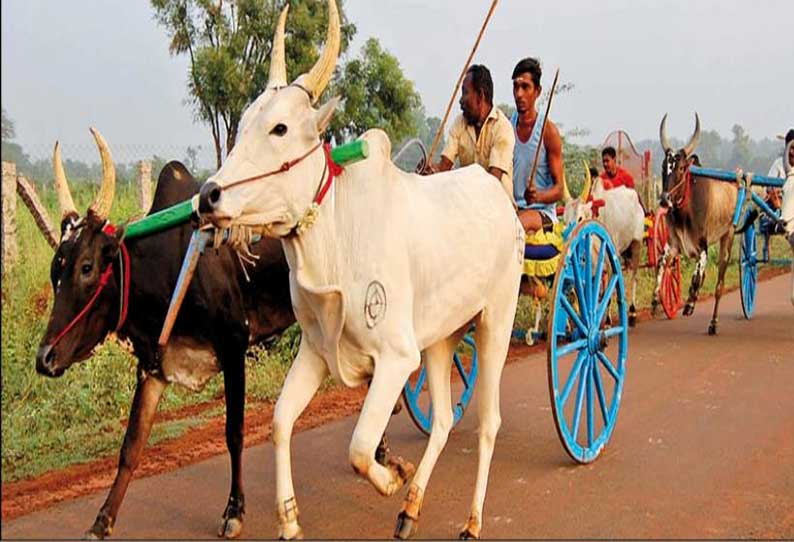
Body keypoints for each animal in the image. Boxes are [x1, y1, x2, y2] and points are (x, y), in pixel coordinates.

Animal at [34, 164, 294, 540]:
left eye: (87, 267)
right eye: (56, 270)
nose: (45, 358)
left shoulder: (234, 346)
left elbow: (234, 432)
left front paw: (234, 510)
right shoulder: (153, 366)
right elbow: (131, 447)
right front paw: (102, 521)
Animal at [197, 2, 524, 540]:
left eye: (280, 129)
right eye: (243, 125)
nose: (208, 197)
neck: (333, 237)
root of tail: (500, 197)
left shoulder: (395, 357)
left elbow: (358, 448)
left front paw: (390, 477)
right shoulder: (316, 350)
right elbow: (280, 423)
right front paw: (290, 520)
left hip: (496, 319)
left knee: (490, 423)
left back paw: (471, 520)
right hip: (441, 338)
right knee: (441, 422)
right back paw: (411, 509)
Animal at [564, 168, 644, 326]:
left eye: (580, 218)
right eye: (564, 220)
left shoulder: (609, 257)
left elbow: (609, 289)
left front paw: (607, 320)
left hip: (636, 245)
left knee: (634, 278)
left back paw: (632, 313)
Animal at [648, 113, 736, 336]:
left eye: (680, 168)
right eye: (663, 167)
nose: (664, 200)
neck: (685, 213)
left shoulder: (703, 247)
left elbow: (698, 274)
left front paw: (689, 303)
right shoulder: (673, 245)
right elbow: (661, 265)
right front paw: (655, 300)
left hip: (728, 238)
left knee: (719, 285)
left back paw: (713, 323)